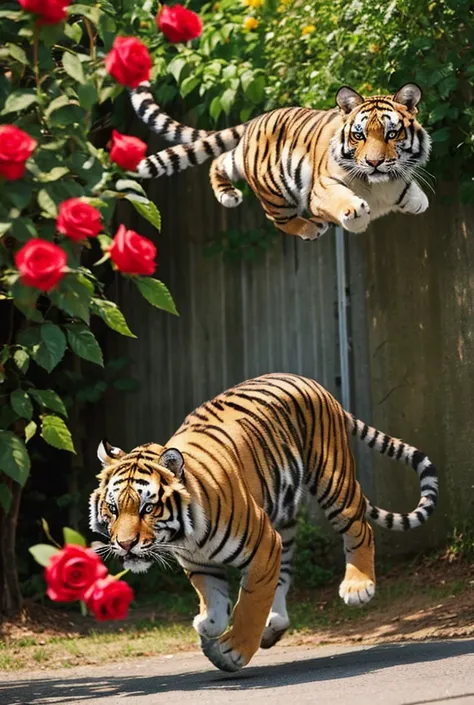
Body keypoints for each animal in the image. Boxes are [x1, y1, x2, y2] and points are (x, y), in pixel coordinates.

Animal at [89, 374, 436, 672]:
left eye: (148, 508)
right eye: (113, 509)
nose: (125, 544)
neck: (187, 536)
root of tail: (311, 382)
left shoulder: (263, 545)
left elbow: (252, 601)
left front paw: (234, 649)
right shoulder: (200, 564)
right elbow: (214, 598)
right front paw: (208, 624)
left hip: (332, 481)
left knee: (359, 529)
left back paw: (358, 586)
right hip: (283, 518)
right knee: (284, 574)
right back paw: (275, 624)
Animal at [123, 81, 434, 241]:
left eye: (392, 133)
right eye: (359, 135)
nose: (373, 163)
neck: (378, 183)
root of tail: (255, 120)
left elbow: (410, 193)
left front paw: (417, 201)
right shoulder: (321, 189)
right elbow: (344, 202)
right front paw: (355, 213)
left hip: (243, 161)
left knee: (220, 159)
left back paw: (228, 195)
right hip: (274, 190)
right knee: (278, 219)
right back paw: (310, 227)